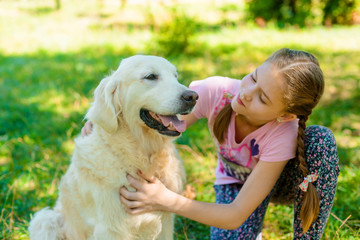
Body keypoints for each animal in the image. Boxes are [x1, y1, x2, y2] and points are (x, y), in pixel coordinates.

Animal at [28, 55, 198, 239]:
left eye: (175, 76)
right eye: (151, 76)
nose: (193, 96)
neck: (139, 155)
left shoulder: (165, 220)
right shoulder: (110, 227)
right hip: (45, 219)